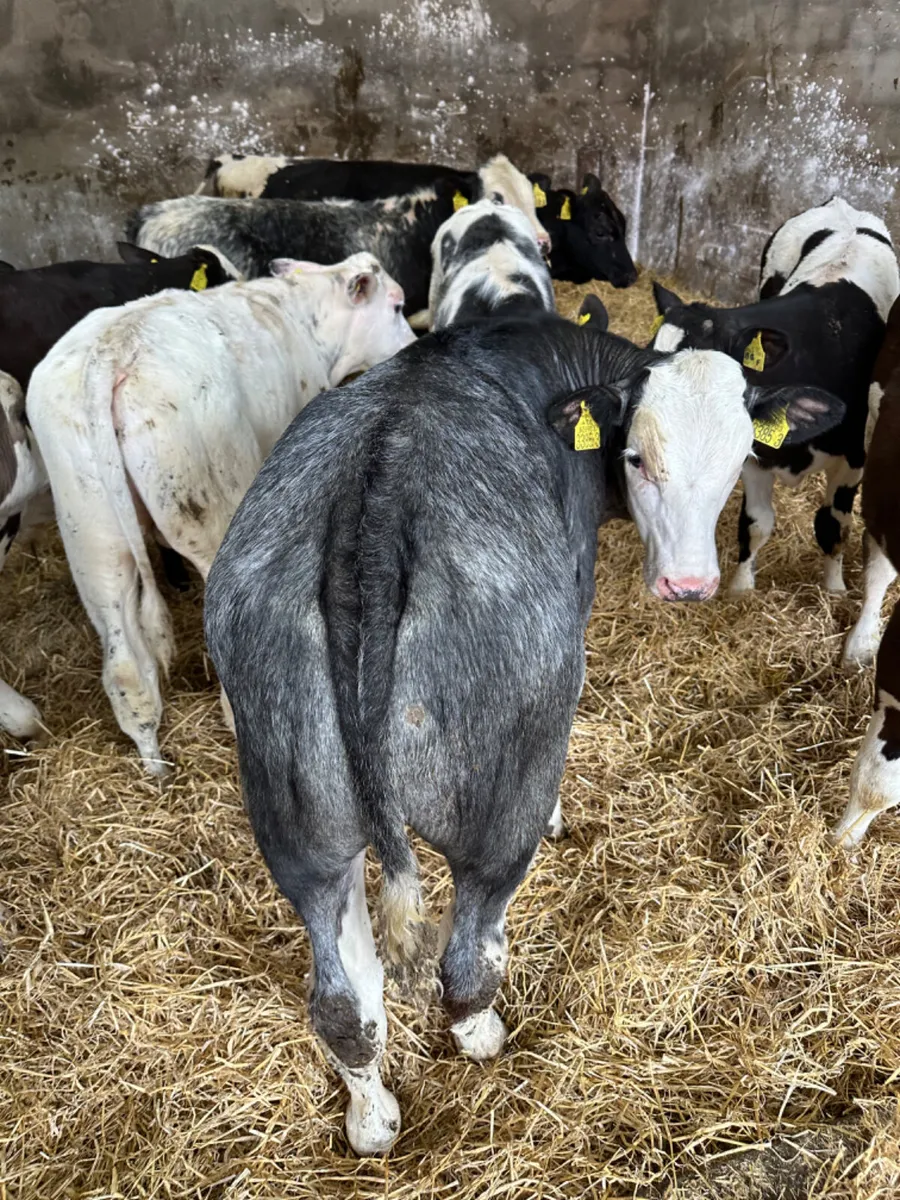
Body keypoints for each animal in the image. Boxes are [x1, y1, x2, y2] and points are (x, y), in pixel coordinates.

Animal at [27, 253, 414, 774]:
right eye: (396, 305)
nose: (412, 346)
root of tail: (110, 356)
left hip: (93, 539)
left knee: (125, 665)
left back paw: (154, 764)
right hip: (208, 514)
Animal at [203, 309, 843, 1155]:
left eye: (739, 457)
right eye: (636, 457)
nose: (689, 584)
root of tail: (370, 513)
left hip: (298, 827)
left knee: (343, 1002)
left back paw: (372, 1119)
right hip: (497, 807)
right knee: (464, 962)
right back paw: (481, 1033)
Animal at [651, 202, 898, 593]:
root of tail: (840, 203)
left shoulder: (853, 460)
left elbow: (832, 526)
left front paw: (834, 588)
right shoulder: (757, 456)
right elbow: (755, 523)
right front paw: (740, 590)